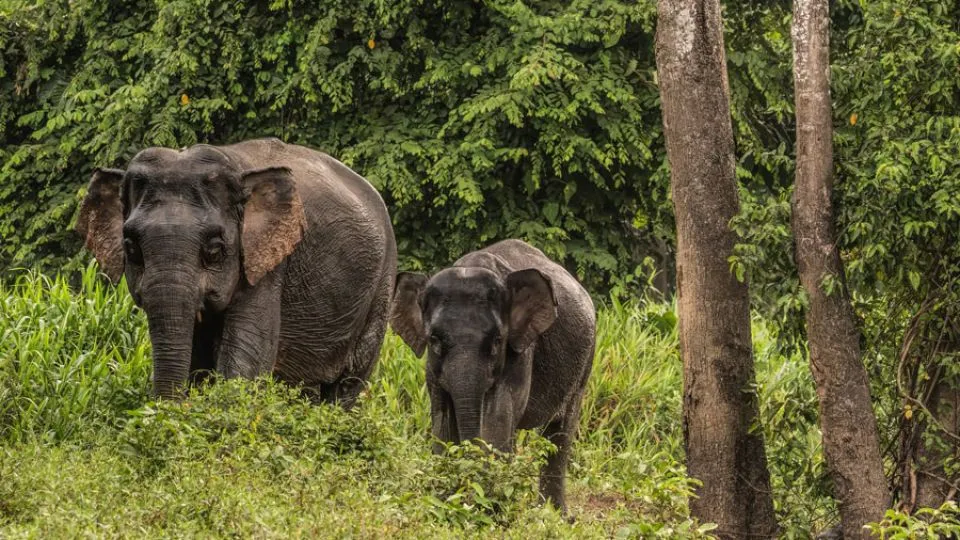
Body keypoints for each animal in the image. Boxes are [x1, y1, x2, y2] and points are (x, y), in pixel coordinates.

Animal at [76, 138, 397, 405]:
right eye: (131, 249)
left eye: (214, 250)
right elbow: (200, 361)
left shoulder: (268, 265)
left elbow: (244, 366)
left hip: (382, 284)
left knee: (347, 383)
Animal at [389, 239, 596, 511]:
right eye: (434, 339)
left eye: (498, 340)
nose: (466, 490)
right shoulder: (432, 368)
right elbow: (442, 416)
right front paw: (446, 502)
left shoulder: (521, 351)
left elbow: (497, 413)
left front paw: (486, 504)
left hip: (586, 360)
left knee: (560, 430)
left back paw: (553, 514)